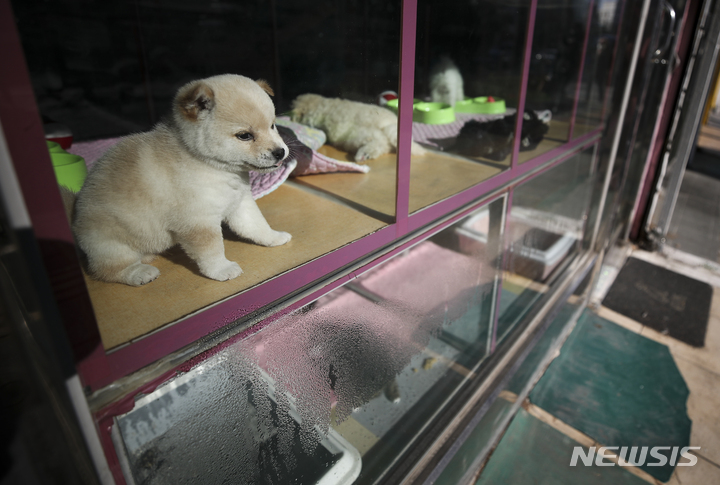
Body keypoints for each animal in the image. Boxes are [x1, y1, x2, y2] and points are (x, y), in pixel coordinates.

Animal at [66, 73, 292, 286]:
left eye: (273, 126)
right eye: (245, 135)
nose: (280, 152)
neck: (212, 167)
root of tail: (75, 220)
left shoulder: (240, 204)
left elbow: (257, 226)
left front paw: (274, 237)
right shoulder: (198, 222)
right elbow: (212, 250)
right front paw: (221, 270)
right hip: (112, 247)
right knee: (107, 270)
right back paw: (139, 273)